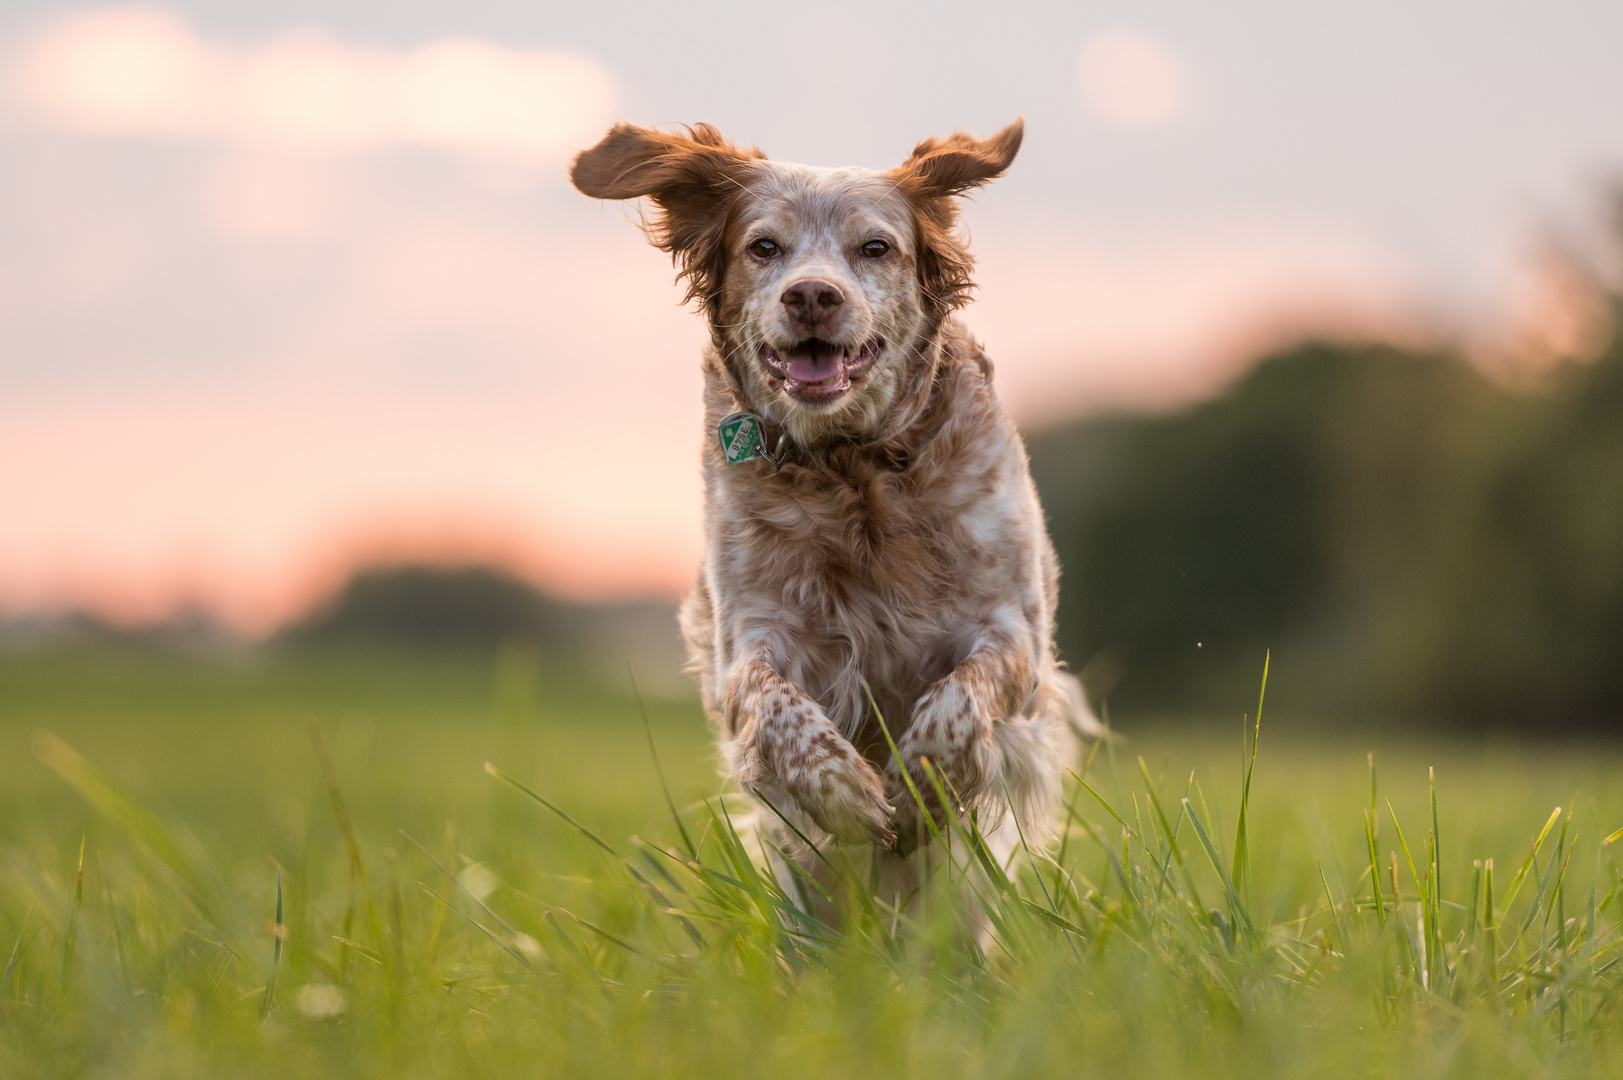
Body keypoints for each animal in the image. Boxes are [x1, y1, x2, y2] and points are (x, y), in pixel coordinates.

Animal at [568, 116, 1090, 876]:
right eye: (763, 247)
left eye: (875, 247)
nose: (812, 295)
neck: (853, 468)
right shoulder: (750, 637)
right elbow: (775, 704)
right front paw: (841, 789)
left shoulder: (1010, 630)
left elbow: (958, 703)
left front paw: (921, 785)